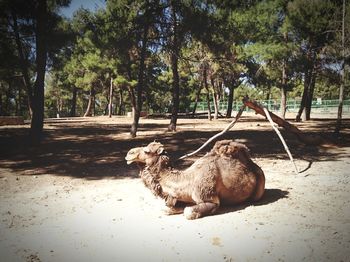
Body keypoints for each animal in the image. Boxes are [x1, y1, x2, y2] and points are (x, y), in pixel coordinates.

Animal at [124, 139, 264, 219]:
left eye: (146, 151)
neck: (188, 180)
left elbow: (188, 212)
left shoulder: (209, 198)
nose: (129, 153)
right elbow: (166, 209)